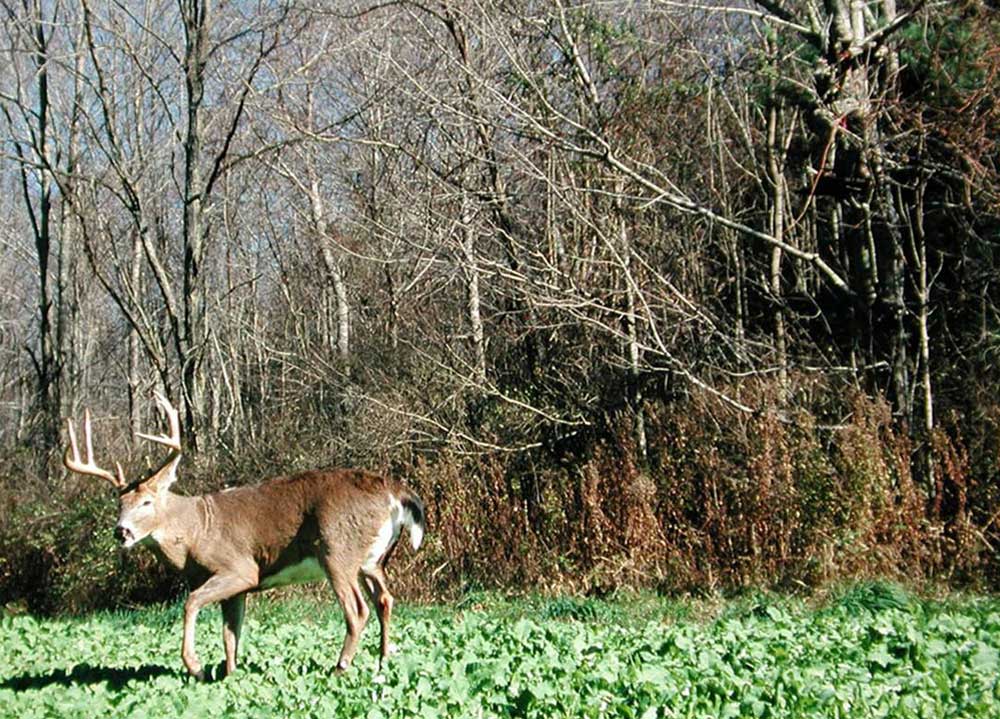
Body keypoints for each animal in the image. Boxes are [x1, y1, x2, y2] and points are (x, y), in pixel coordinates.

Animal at [62, 394, 422, 680]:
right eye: (119, 504)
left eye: (146, 502)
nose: (121, 531)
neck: (195, 531)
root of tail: (395, 493)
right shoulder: (238, 588)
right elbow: (230, 634)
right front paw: (229, 675)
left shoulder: (239, 569)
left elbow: (192, 603)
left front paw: (195, 666)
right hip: (371, 560)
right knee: (385, 600)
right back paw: (382, 663)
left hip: (336, 551)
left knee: (357, 610)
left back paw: (340, 667)